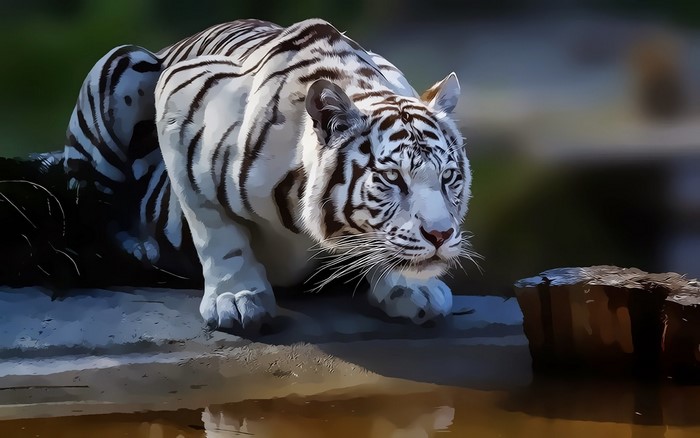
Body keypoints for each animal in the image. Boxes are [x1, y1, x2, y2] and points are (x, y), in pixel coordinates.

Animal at [59, 18, 474, 332]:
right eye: (392, 179)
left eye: (448, 177)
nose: (440, 236)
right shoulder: (179, 101)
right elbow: (215, 229)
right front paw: (236, 299)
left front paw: (412, 288)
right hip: (121, 68)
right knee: (92, 211)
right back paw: (141, 247)